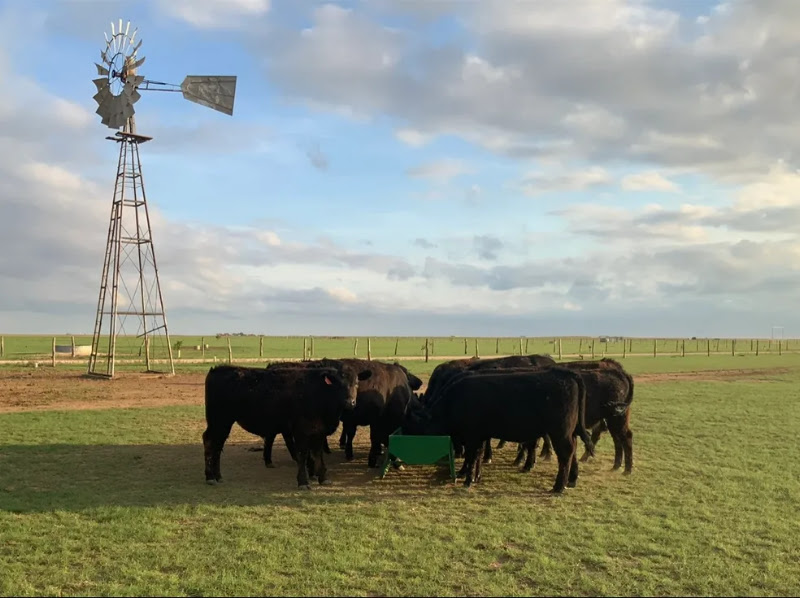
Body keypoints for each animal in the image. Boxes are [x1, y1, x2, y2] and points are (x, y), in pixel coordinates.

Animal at [202, 363, 372, 489]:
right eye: (338, 385)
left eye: (356, 383)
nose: (350, 402)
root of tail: (218, 369)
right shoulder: (301, 431)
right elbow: (303, 454)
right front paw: (303, 482)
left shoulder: (319, 431)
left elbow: (318, 454)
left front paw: (323, 478)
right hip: (218, 420)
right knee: (210, 441)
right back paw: (210, 477)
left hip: (224, 423)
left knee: (218, 445)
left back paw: (218, 476)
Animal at [403, 367, 596, 493]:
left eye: (410, 428)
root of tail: (566, 373)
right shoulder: (480, 435)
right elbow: (478, 456)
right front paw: (475, 477)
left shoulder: (472, 436)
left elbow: (471, 457)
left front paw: (467, 479)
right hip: (569, 431)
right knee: (573, 450)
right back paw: (571, 480)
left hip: (560, 431)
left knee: (566, 453)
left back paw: (558, 487)